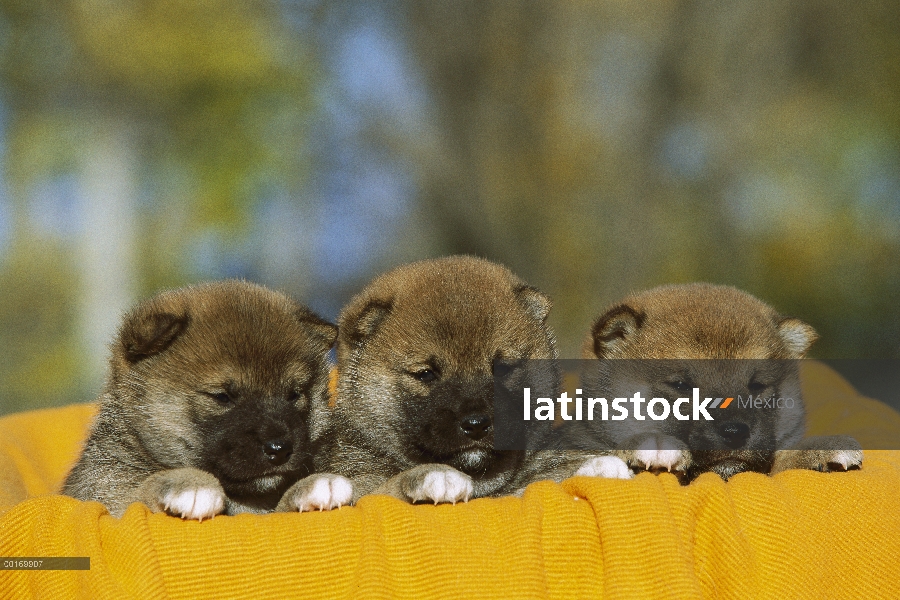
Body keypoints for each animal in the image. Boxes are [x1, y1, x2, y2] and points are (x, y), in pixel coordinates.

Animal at [62, 282, 352, 520]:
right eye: (222, 396)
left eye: (294, 394)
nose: (279, 448)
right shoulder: (102, 495)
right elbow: (138, 490)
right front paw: (189, 483)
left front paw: (312, 484)